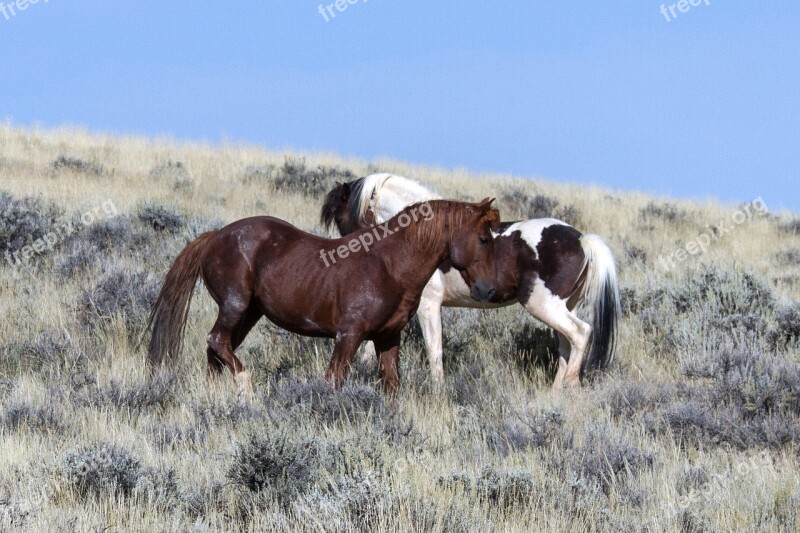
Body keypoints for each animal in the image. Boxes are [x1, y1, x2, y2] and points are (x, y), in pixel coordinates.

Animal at [148, 197, 500, 392]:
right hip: (235, 306)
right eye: (484, 238)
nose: (488, 289)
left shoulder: (388, 338)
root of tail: (215, 236)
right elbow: (334, 380)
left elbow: (391, 386)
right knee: (217, 341)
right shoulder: (348, 336)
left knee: (216, 351)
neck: (389, 265)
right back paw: (246, 388)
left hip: (249, 313)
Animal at [322, 174, 620, 386]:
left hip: (543, 305)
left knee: (581, 333)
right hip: (564, 307)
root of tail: (582, 239)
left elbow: (434, 350)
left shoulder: (428, 305)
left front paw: (438, 391)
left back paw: (569, 387)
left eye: (341, 218)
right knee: (566, 344)